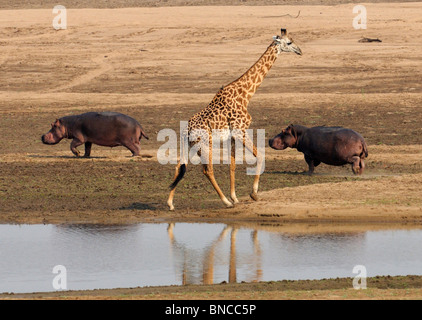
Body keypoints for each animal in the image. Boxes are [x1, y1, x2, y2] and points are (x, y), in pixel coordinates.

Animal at [166, 28, 302, 211]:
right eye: (289, 42)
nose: (299, 51)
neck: (246, 94)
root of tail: (185, 130)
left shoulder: (232, 136)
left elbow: (232, 165)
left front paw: (236, 197)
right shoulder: (240, 131)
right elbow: (260, 156)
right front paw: (253, 194)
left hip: (191, 145)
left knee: (179, 166)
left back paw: (170, 203)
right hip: (205, 144)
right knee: (207, 170)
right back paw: (225, 202)